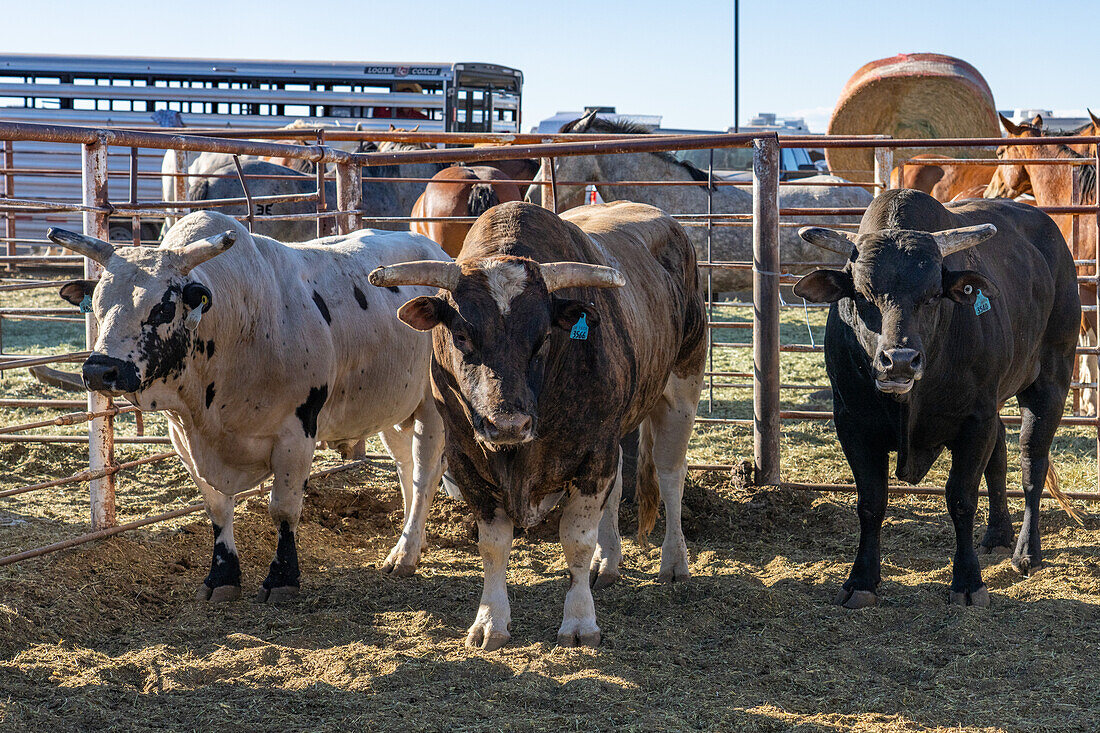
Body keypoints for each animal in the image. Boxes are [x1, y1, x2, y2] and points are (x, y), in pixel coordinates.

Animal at [50, 210, 446, 598]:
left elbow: (284, 509)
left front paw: (282, 577)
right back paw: (413, 541)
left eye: (162, 308)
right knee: (406, 468)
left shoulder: (296, 433)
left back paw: (405, 554)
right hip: (396, 408)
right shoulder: (185, 439)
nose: (100, 370)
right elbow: (217, 508)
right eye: (97, 305)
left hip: (432, 407)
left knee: (425, 473)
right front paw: (222, 575)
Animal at [369, 200, 704, 647]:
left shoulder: (592, 452)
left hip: (682, 388)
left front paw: (579, 622)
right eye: (461, 335)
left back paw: (674, 562)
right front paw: (490, 621)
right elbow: (493, 545)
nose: (508, 424)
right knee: (619, 488)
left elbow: (576, 539)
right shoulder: (467, 457)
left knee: (670, 476)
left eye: (543, 337)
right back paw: (608, 562)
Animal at [796, 188, 1078, 603]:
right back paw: (997, 535)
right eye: (861, 295)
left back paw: (1027, 552)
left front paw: (968, 582)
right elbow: (871, 501)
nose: (899, 361)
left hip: (1050, 381)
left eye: (932, 296)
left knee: (1032, 464)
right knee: (1000, 457)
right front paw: (861, 581)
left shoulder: (975, 421)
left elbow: (961, 498)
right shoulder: (851, 422)